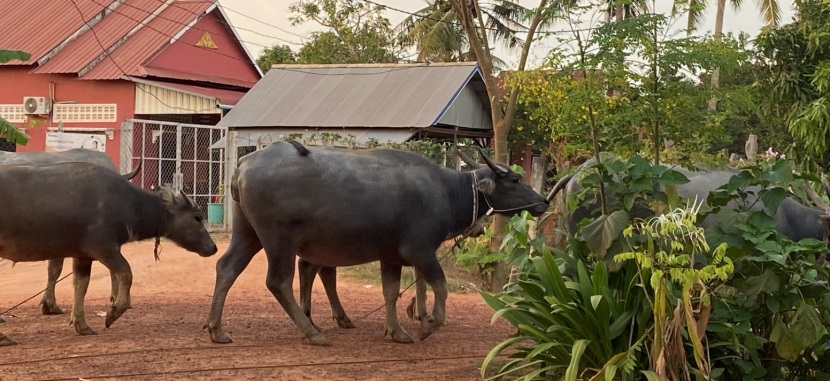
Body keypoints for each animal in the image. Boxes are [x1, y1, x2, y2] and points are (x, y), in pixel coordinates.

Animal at [205, 140, 548, 344]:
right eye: (515, 180)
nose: (543, 201)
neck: (447, 191)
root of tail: (242, 166)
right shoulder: (420, 250)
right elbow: (440, 285)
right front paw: (428, 324)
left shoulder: (391, 256)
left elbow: (391, 291)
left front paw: (396, 331)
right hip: (280, 241)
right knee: (278, 281)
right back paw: (311, 331)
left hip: (248, 233)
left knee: (227, 267)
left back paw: (216, 329)